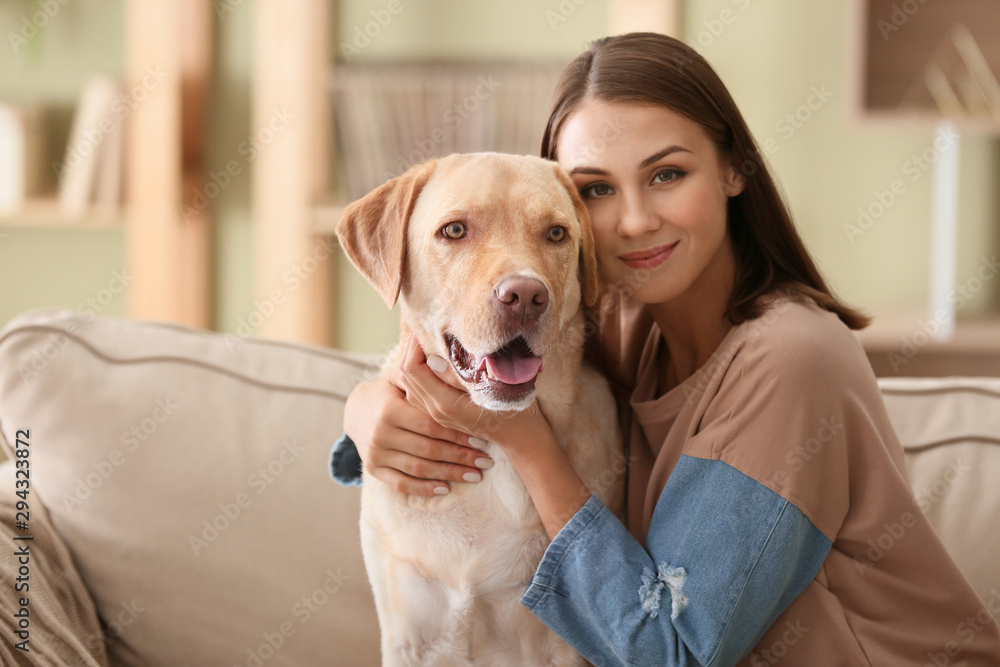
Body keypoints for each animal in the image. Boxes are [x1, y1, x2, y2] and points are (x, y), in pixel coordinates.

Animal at [340, 153, 620, 667]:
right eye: (454, 230)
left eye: (556, 233)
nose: (525, 296)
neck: (495, 442)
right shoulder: (408, 639)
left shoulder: (564, 648)